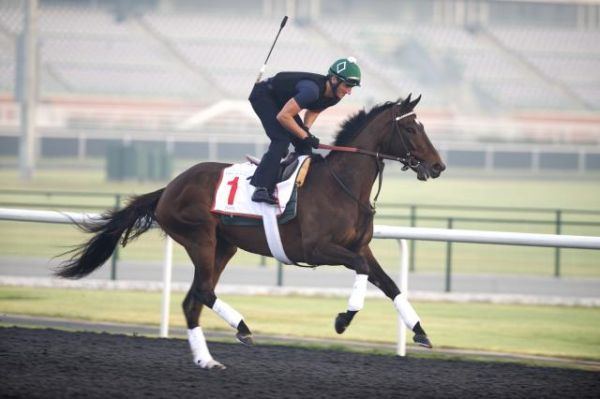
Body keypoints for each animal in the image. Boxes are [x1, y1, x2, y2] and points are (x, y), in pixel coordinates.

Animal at [57, 94, 446, 372]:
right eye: (412, 129)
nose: (438, 165)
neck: (343, 185)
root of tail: (169, 187)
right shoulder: (317, 249)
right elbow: (364, 273)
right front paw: (342, 319)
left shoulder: (360, 247)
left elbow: (390, 284)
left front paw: (421, 331)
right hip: (200, 238)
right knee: (202, 291)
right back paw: (242, 328)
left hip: (224, 247)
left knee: (193, 299)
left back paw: (207, 359)